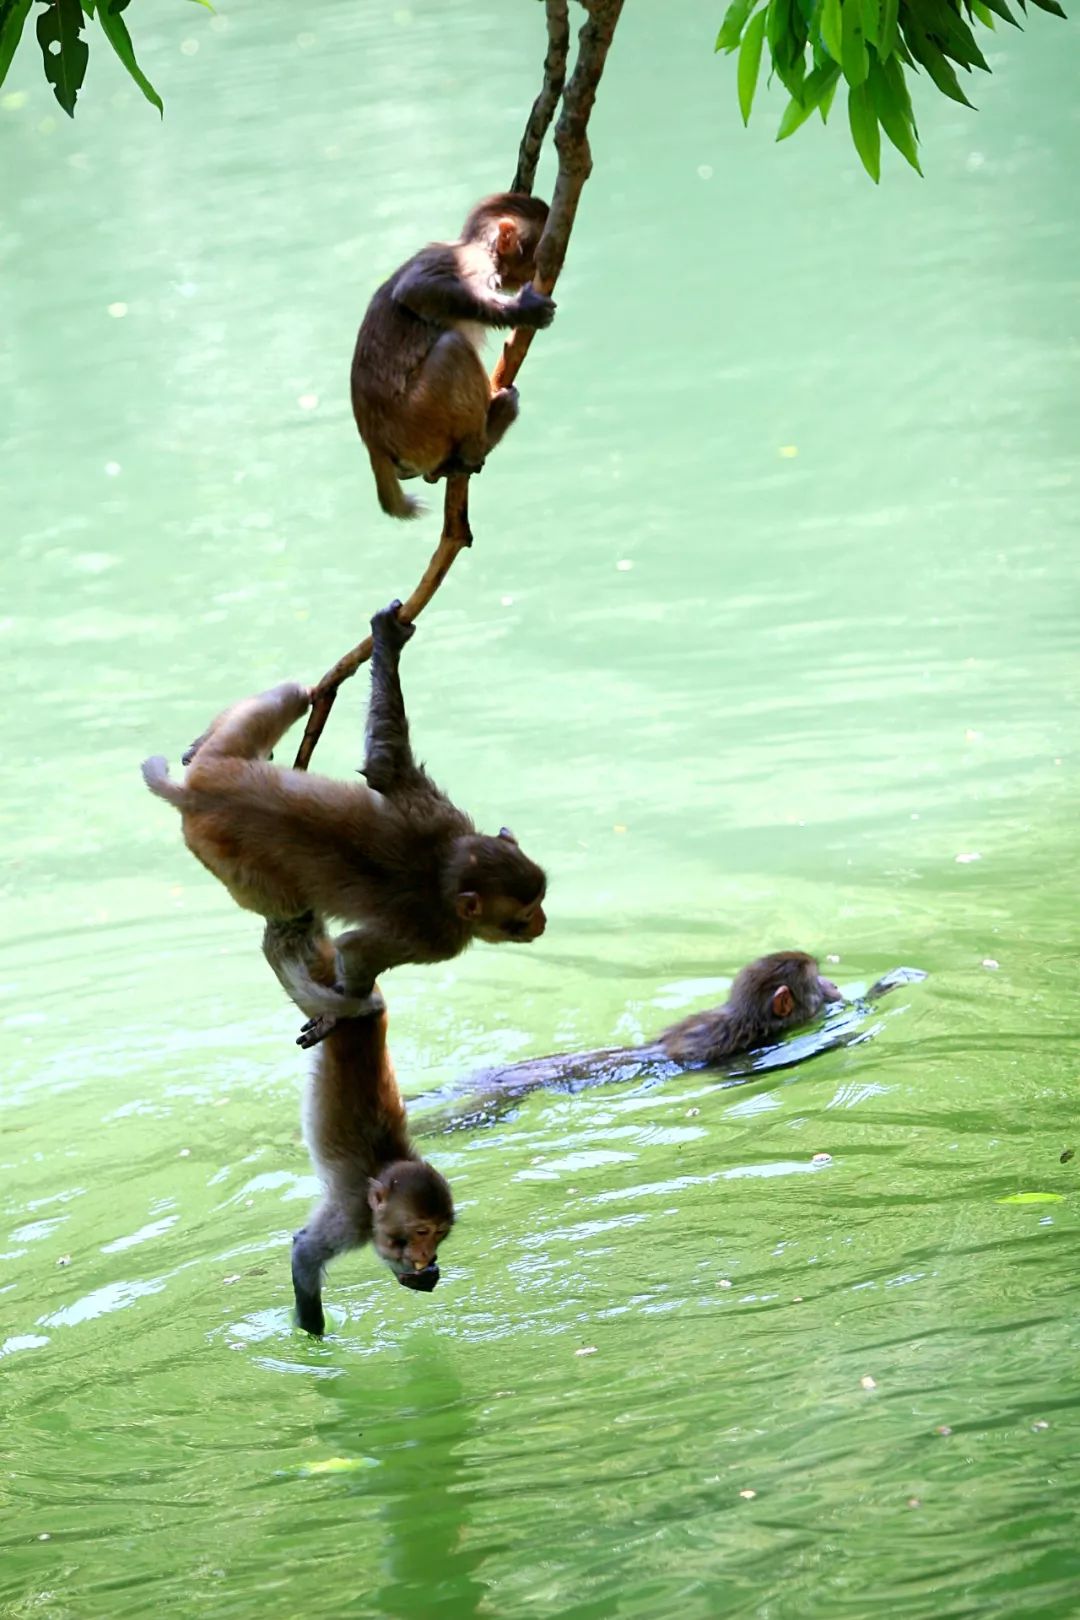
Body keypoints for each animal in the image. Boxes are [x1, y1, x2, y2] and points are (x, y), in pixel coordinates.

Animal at [141, 602, 550, 1043]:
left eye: (540, 903)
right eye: (520, 920)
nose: (542, 923)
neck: (441, 872)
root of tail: (194, 795)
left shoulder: (439, 813)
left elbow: (385, 765)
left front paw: (387, 641)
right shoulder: (435, 939)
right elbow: (355, 948)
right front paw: (350, 1003)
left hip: (223, 759)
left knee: (292, 694)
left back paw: (202, 744)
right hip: (231, 864)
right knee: (290, 919)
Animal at [275, 920, 456, 1334]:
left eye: (439, 1232)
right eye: (421, 1231)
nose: (427, 1253)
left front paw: (418, 1274)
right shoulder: (352, 1217)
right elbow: (305, 1252)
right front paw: (313, 1335)